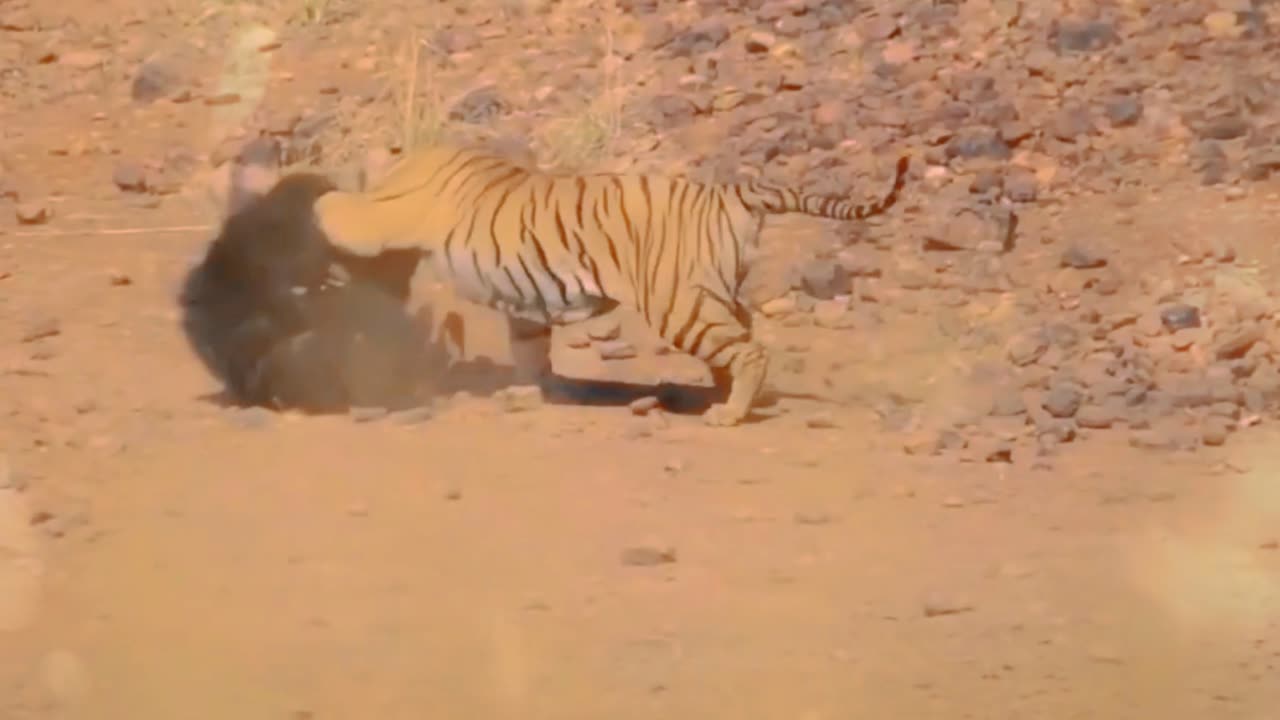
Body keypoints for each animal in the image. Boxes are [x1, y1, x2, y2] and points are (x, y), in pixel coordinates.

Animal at [312, 142, 911, 422]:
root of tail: (727, 192)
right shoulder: (523, 309)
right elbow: (530, 353)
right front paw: (526, 392)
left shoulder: (386, 216)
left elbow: (341, 209)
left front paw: (318, 200)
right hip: (711, 294)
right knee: (742, 339)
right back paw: (725, 395)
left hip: (677, 304)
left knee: (749, 350)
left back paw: (729, 414)